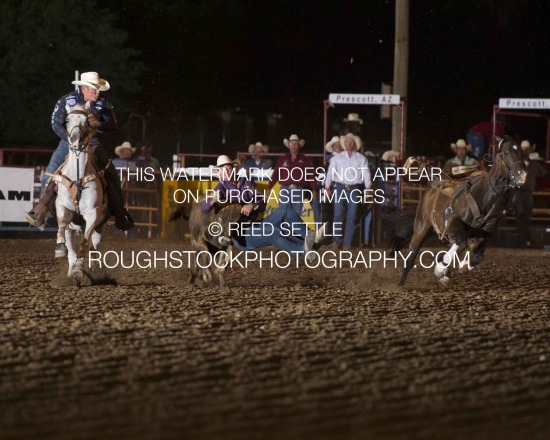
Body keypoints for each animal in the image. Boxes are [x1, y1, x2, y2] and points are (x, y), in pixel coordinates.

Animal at [54, 103, 109, 278]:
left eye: (87, 120)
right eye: (67, 120)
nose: (75, 140)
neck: (77, 178)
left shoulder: (92, 215)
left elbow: (84, 243)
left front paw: (79, 269)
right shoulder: (62, 206)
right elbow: (62, 224)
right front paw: (59, 248)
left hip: (99, 227)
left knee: (92, 246)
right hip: (73, 229)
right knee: (72, 251)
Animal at [398, 138, 528, 288]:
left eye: (521, 152)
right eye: (506, 152)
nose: (522, 175)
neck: (485, 196)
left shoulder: (485, 234)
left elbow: (477, 257)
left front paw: (459, 267)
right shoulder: (453, 224)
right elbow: (459, 241)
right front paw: (440, 270)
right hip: (421, 227)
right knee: (411, 255)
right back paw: (401, 284)